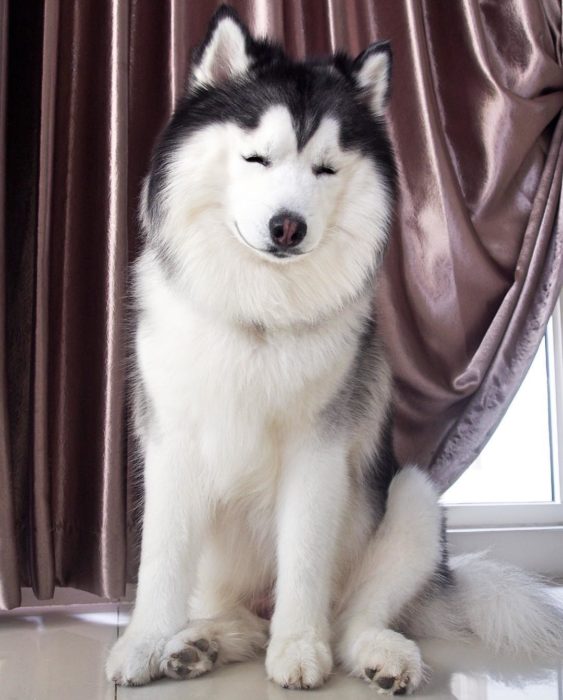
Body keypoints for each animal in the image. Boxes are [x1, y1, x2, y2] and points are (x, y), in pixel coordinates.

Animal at [107, 5, 563, 696]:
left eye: (325, 168)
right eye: (257, 158)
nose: (288, 226)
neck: (261, 311)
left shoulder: (318, 450)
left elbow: (304, 557)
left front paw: (299, 647)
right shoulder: (171, 441)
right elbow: (160, 557)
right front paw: (143, 643)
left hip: (412, 498)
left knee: (353, 616)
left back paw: (380, 654)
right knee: (237, 616)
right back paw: (199, 643)